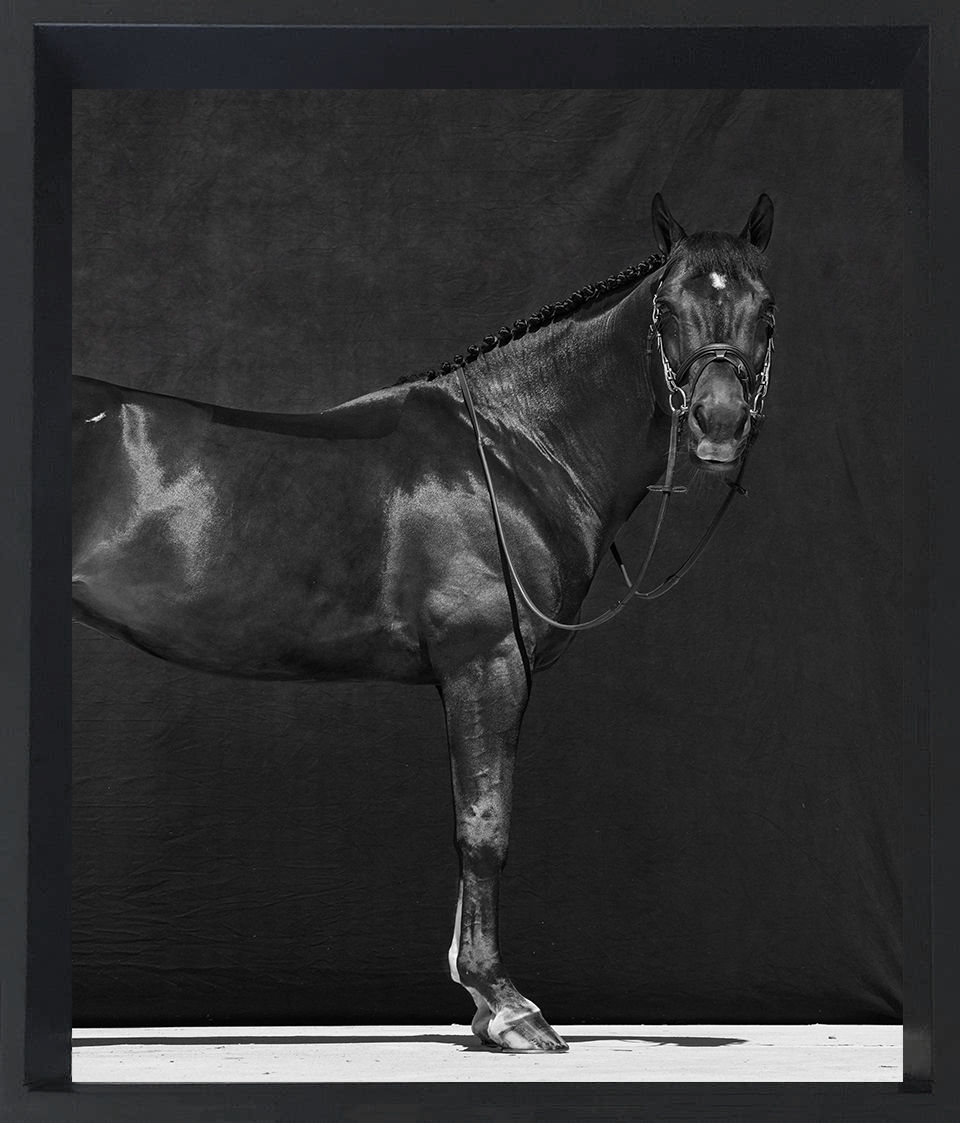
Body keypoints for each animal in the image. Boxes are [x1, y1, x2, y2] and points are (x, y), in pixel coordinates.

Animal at [72, 193, 776, 1052]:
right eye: (667, 309)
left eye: (766, 310)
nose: (717, 424)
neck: (511, 452)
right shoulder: (487, 662)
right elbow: (484, 826)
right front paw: (506, 1004)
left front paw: (479, 1000)